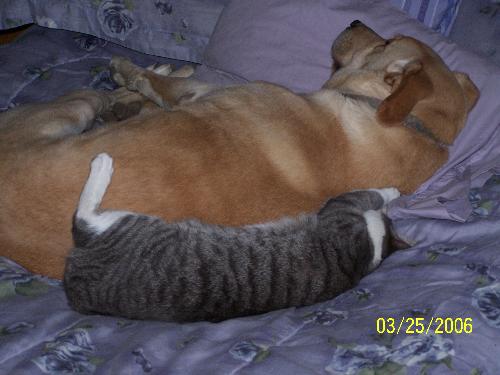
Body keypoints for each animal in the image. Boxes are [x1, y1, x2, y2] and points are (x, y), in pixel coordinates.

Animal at [0, 22, 478, 278]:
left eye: (386, 43)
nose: (356, 21)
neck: (417, 129)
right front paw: (140, 92)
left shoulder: (203, 92)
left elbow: (159, 84)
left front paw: (134, 72)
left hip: (66, 107)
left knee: (94, 96)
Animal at [64, 153, 404, 324]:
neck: (365, 259)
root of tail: (74, 284)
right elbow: (366, 195)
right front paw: (392, 194)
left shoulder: (339, 213)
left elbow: (363, 195)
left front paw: (389, 193)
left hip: (125, 224)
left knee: (83, 216)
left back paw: (101, 165)